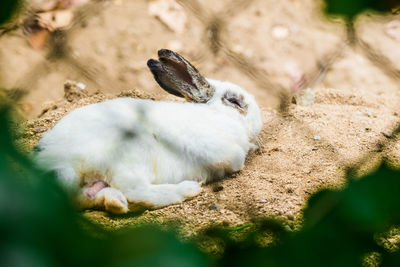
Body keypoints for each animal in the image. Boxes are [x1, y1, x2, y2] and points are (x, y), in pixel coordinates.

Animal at [34, 49, 262, 215]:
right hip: (135, 149)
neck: (216, 114)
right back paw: (189, 189)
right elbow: (234, 160)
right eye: (234, 101)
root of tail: (56, 164)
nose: (258, 122)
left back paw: (115, 202)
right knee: (136, 192)